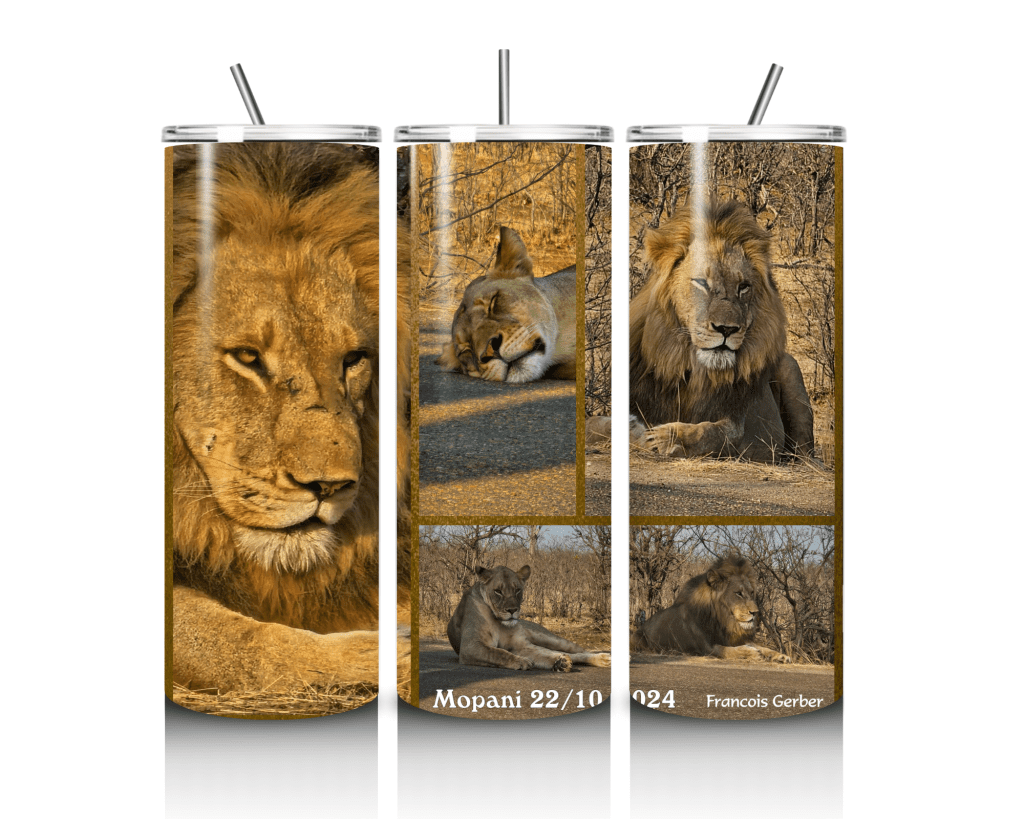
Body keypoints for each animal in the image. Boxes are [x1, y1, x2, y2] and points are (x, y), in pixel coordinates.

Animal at [447, 565, 610, 672]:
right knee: (565, 655)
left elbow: (500, 653)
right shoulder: (470, 647)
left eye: (517, 590)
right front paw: (522, 661)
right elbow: (498, 653)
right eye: (498, 591)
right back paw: (561, 663)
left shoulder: (520, 646)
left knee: (576, 652)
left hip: (549, 638)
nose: (512, 610)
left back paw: (601, 658)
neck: (499, 622)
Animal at [629, 198, 814, 462]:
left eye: (743, 287)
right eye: (702, 283)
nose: (727, 329)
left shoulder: (736, 420)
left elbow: (711, 432)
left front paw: (666, 439)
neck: (695, 370)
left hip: (792, 371)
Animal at [630, 555, 790, 663]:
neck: (722, 619)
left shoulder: (730, 637)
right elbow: (729, 651)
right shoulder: (707, 648)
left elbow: (760, 646)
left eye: (751, 593)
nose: (756, 613)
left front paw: (780, 655)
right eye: (738, 593)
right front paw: (752, 653)